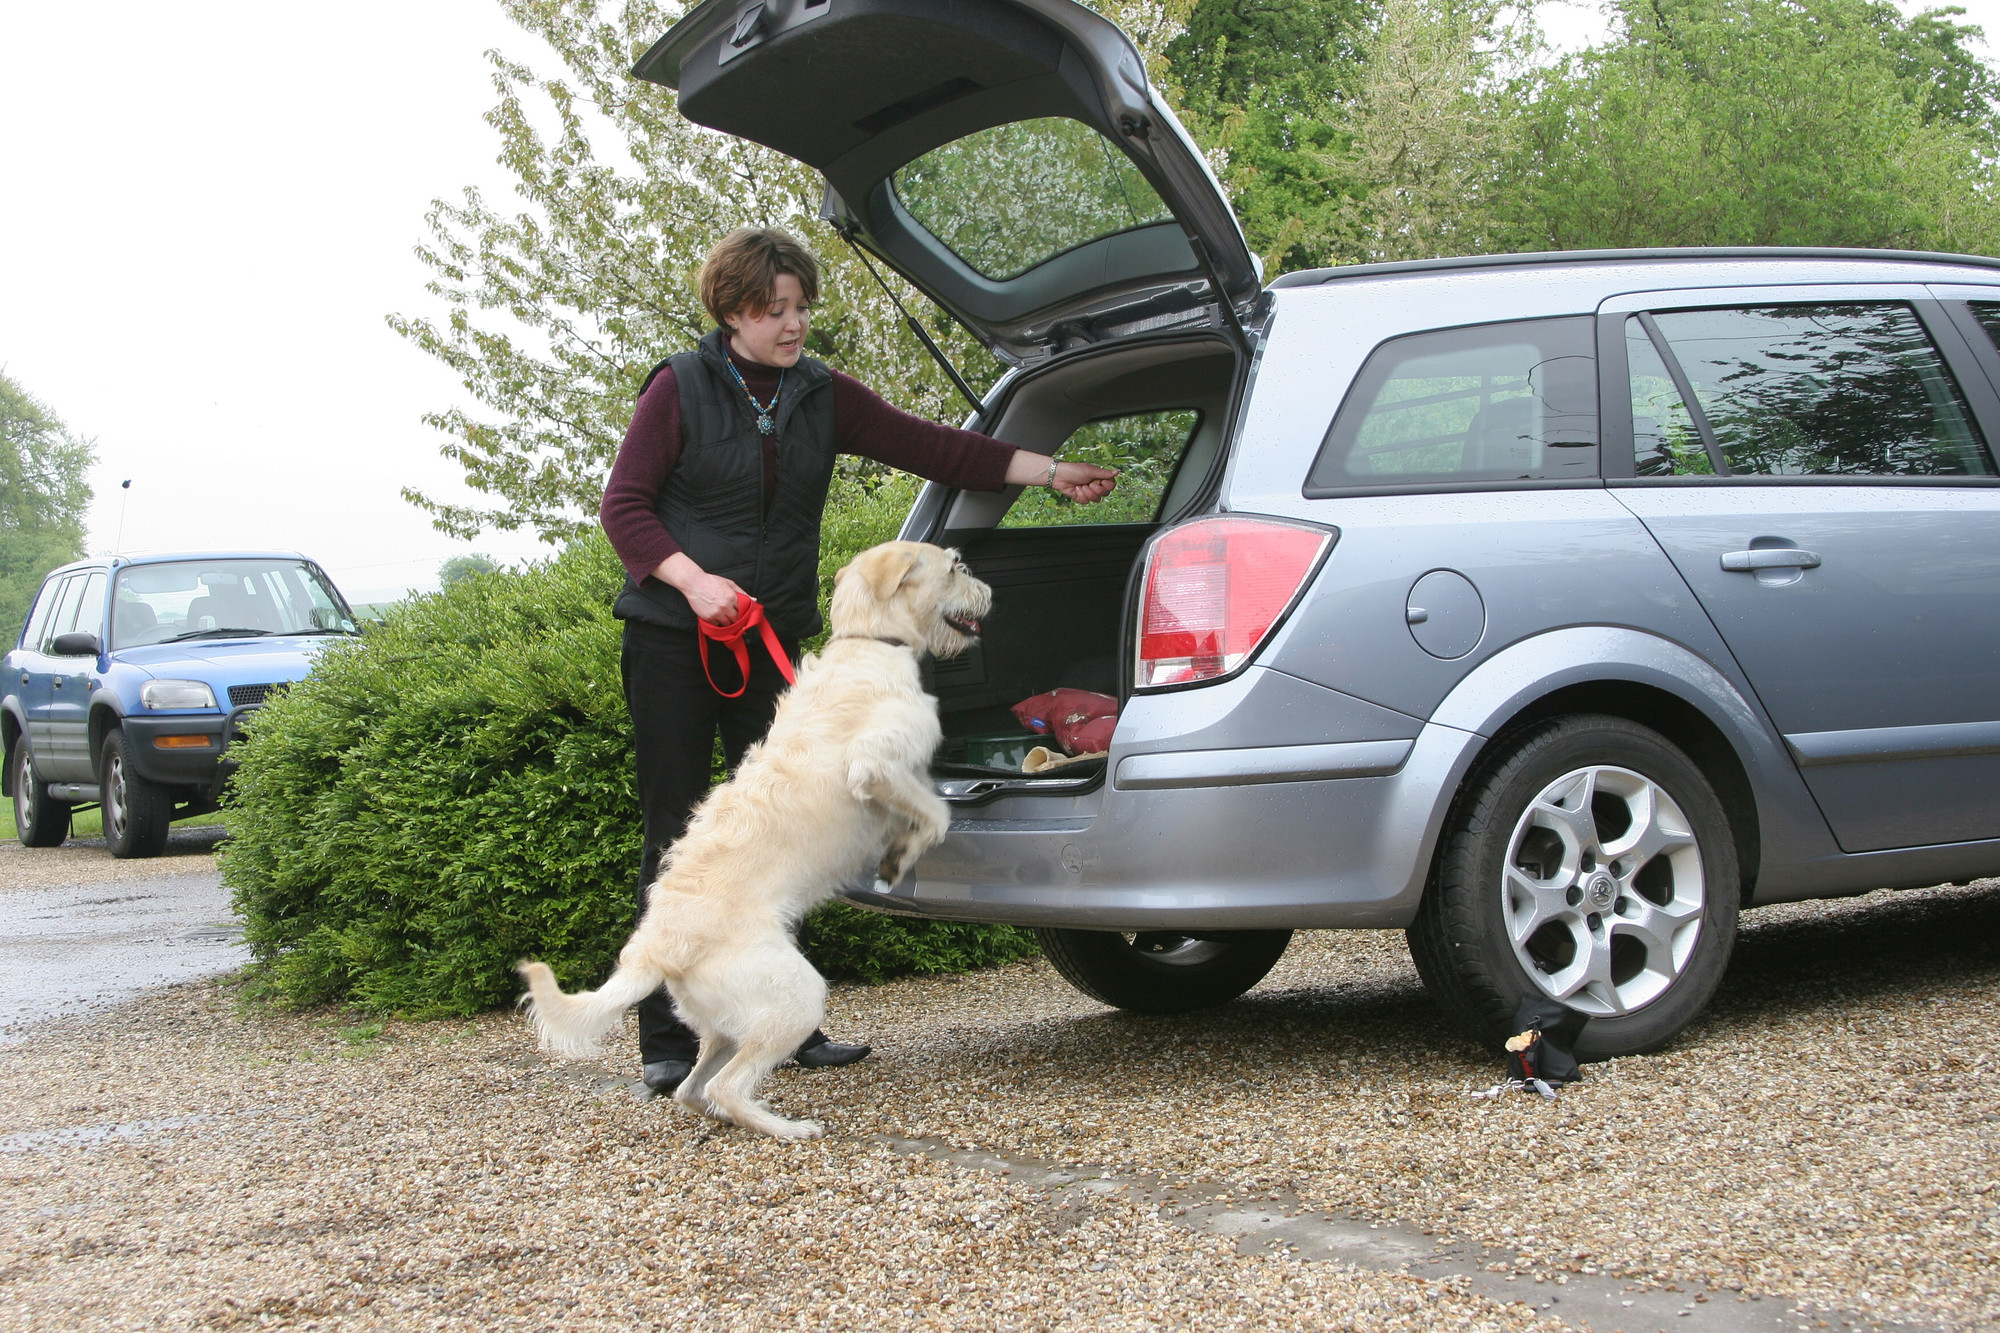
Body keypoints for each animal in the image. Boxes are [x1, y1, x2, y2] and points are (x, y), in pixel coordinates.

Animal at [512, 540, 988, 1128]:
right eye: (955, 567)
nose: (988, 591)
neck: (870, 642)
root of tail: (655, 947)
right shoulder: (874, 766)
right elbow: (936, 814)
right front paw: (898, 859)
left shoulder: (899, 774)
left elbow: (923, 807)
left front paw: (899, 849)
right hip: (796, 996)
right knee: (727, 1086)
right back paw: (788, 1128)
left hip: (726, 1020)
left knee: (695, 1088)